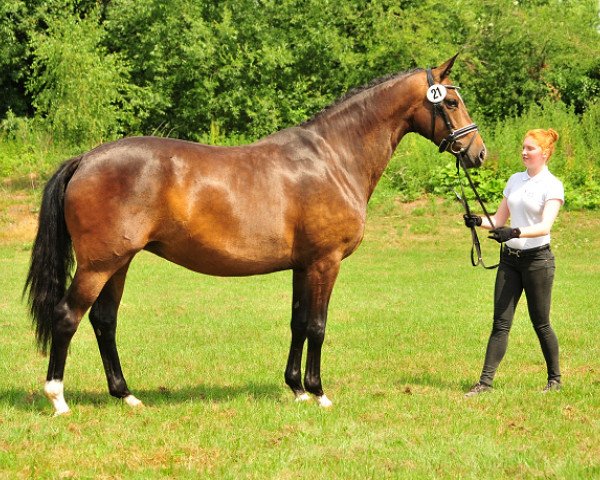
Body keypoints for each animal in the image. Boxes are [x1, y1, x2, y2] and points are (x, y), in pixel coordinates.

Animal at [24, 52, 488, 414]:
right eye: (451, 100)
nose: (478, 152)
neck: (333, 157)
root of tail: (86, 159)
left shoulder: (304, 265)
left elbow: (298, 322)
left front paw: (297, 389)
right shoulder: (326, 262)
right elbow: (318, 324)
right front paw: (319, 393)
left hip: (119, 263)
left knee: (104, 321)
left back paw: (126, 395)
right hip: (98, 265)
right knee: (67, 317)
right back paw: (58, 399)